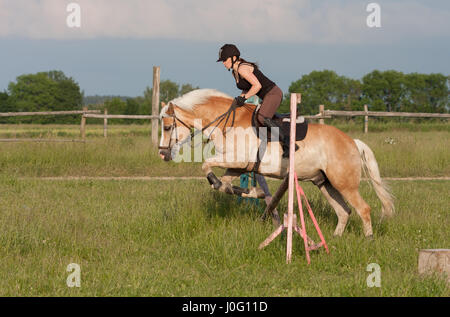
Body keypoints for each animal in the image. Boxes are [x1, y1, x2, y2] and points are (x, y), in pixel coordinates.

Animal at [158, 87, 394, 236]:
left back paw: (368, 240)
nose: (162, 154)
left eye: (168, 127)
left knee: (363, 209)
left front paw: (254, 193)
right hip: (325, 183)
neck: (228, 122)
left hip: (344, 183)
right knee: (344, 211)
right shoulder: (236, 166)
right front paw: (256, 193)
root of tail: (352, 141)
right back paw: (335, 239)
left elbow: (206, 165)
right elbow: (224, 184)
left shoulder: (237, 160)